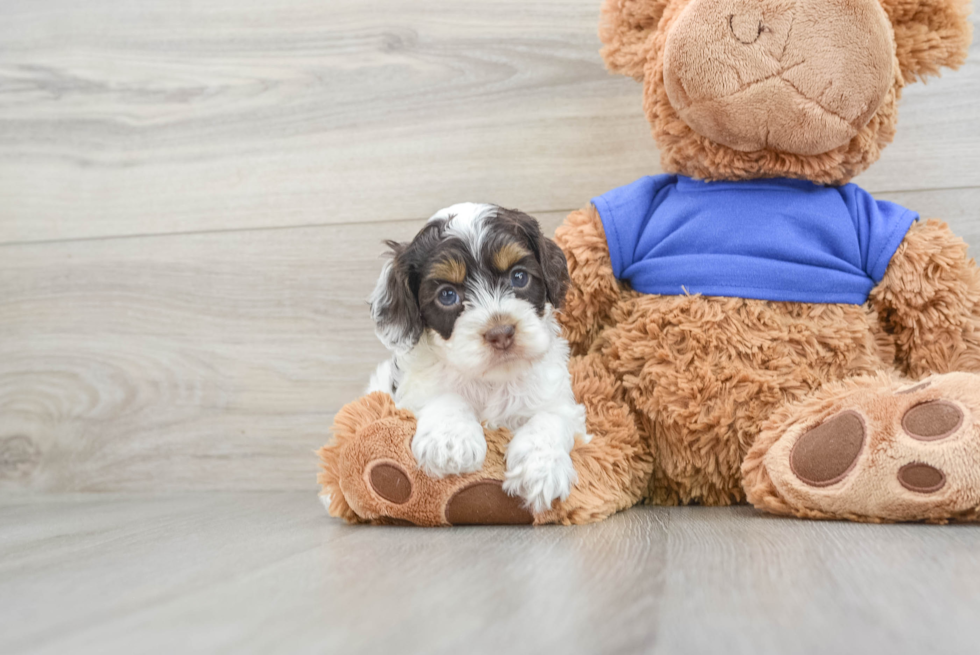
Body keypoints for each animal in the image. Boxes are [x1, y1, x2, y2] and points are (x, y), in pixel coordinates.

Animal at [366, 204, 584, 512]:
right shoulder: (413, 392)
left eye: (519, 277)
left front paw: (541, 469)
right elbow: (445, 397)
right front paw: (450, 440)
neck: (492, 379)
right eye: (447, 295)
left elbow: (551, 418)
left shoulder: (559, 400)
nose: (501, 333)